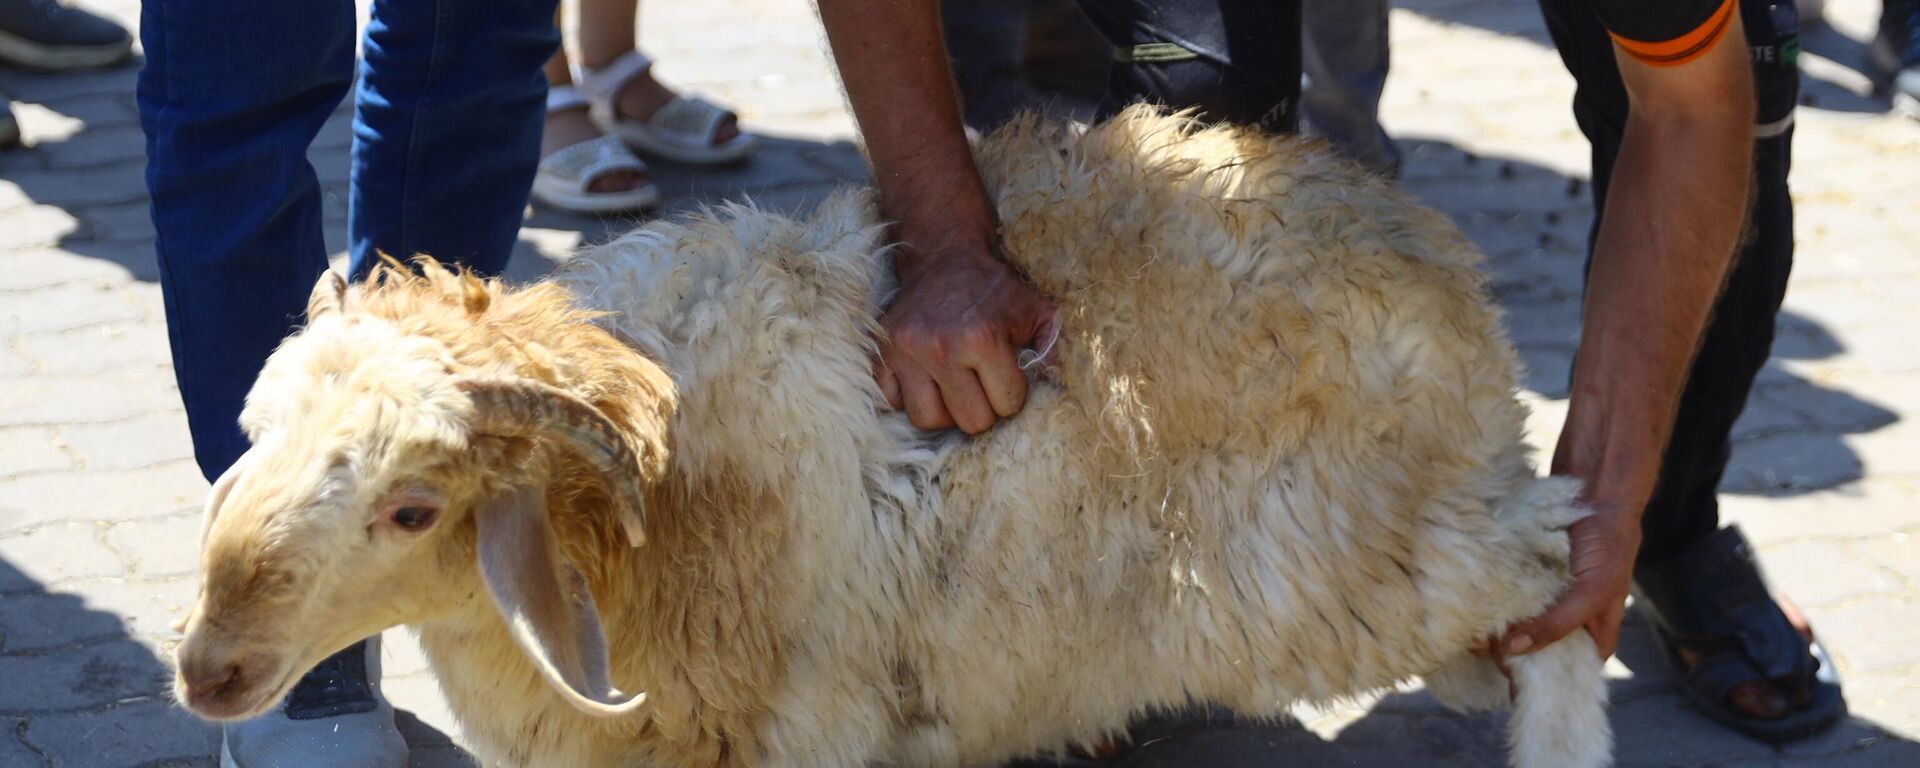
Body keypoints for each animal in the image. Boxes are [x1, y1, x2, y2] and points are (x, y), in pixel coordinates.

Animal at [180, 106, 1612, 768]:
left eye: (412, 508)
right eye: (253, 445)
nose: (208, 671)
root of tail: (1431, 252)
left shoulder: (806, 727)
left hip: (1362, 555)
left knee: (1560, 584)